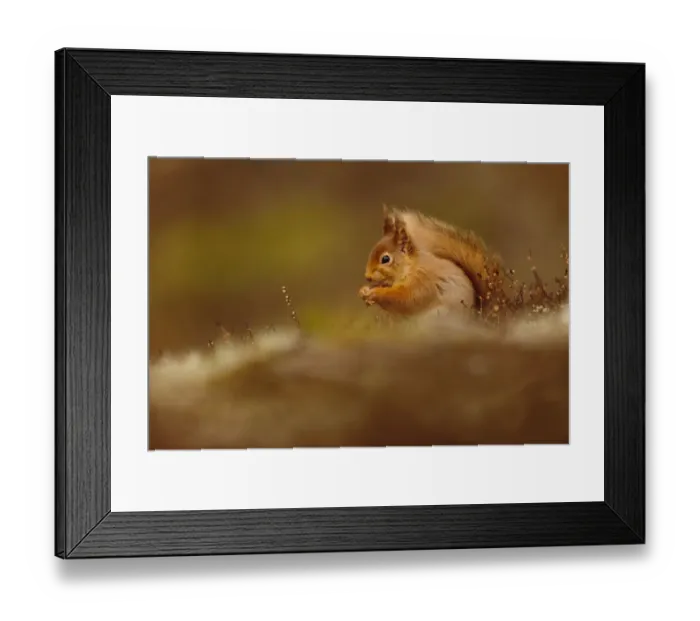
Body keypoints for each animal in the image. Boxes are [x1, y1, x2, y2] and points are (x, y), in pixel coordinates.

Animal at [359, 205, 504, 318]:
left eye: (385, 259)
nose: (367, 277)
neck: (411, 267)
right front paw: (364, 290)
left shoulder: (423, 282)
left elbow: (405, 299)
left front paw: (374, 293)